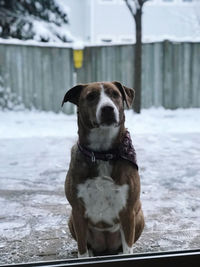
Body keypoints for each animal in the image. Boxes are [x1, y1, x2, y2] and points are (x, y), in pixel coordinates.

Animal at [61, 81, 145, 258]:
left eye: (115, 94)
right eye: (91, 96)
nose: (108, 108)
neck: (102, 154)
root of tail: (106, 248)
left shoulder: (128, 211)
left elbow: (128, 248)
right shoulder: (77, 212)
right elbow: (82, 249)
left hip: (139, 216)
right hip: (71, 220)